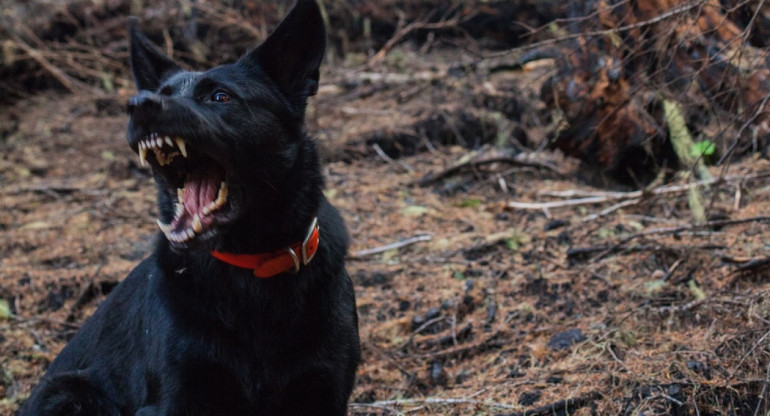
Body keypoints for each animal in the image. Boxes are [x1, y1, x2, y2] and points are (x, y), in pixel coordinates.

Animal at [21, 1, 360, 414]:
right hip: (67, 393)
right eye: (160, 93)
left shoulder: (324, 389)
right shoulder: (175, 396)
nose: (138, 105)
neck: (253, 266)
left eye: (220, 97)